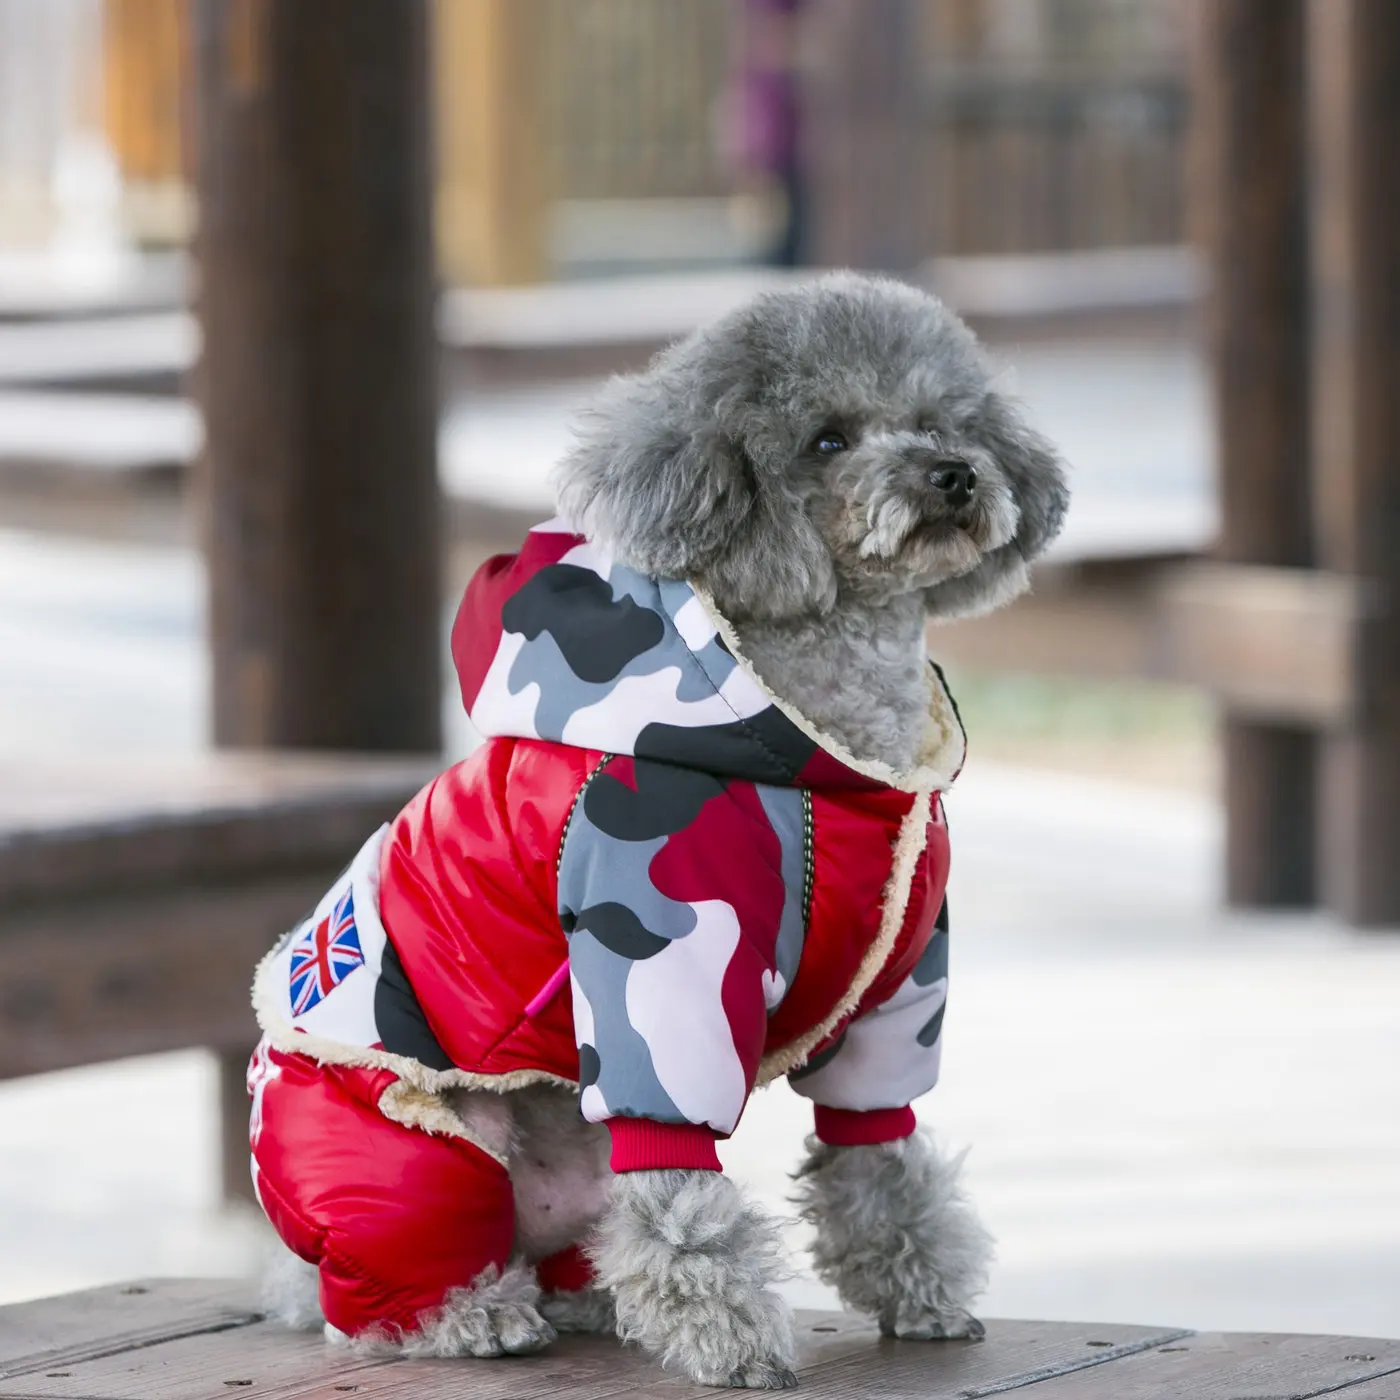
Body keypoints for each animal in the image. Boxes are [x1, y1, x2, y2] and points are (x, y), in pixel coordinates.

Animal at [264, 273, 1069, 1388]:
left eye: (945, 420)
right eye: (826, 438)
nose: (951, 475)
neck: (827, 751)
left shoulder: (901, 986)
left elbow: (876, 1144)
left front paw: (919, 1290)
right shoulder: (659, 972)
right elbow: (683, 1194)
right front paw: (730, 1337)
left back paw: (583, 1299)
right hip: (406, 1148)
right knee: (383, 1290)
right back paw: (475, 1315)